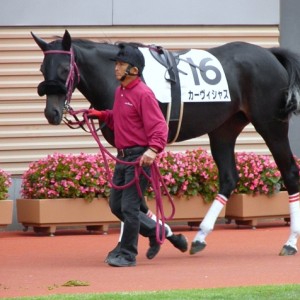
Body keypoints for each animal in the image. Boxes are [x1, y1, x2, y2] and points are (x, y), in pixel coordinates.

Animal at [31, 29, 300, 255]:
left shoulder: (145, 147)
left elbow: (135, 199)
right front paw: (160, 236)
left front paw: (151, 238)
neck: (119, 80)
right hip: (224, 130)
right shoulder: (125, 148)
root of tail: (270, 54)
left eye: (65, 68)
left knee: (290, 173)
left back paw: (290, 242)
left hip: (271, 126)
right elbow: (131, 199)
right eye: (43, 68)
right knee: (229, 178)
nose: (52, 113)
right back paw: (200, 236)